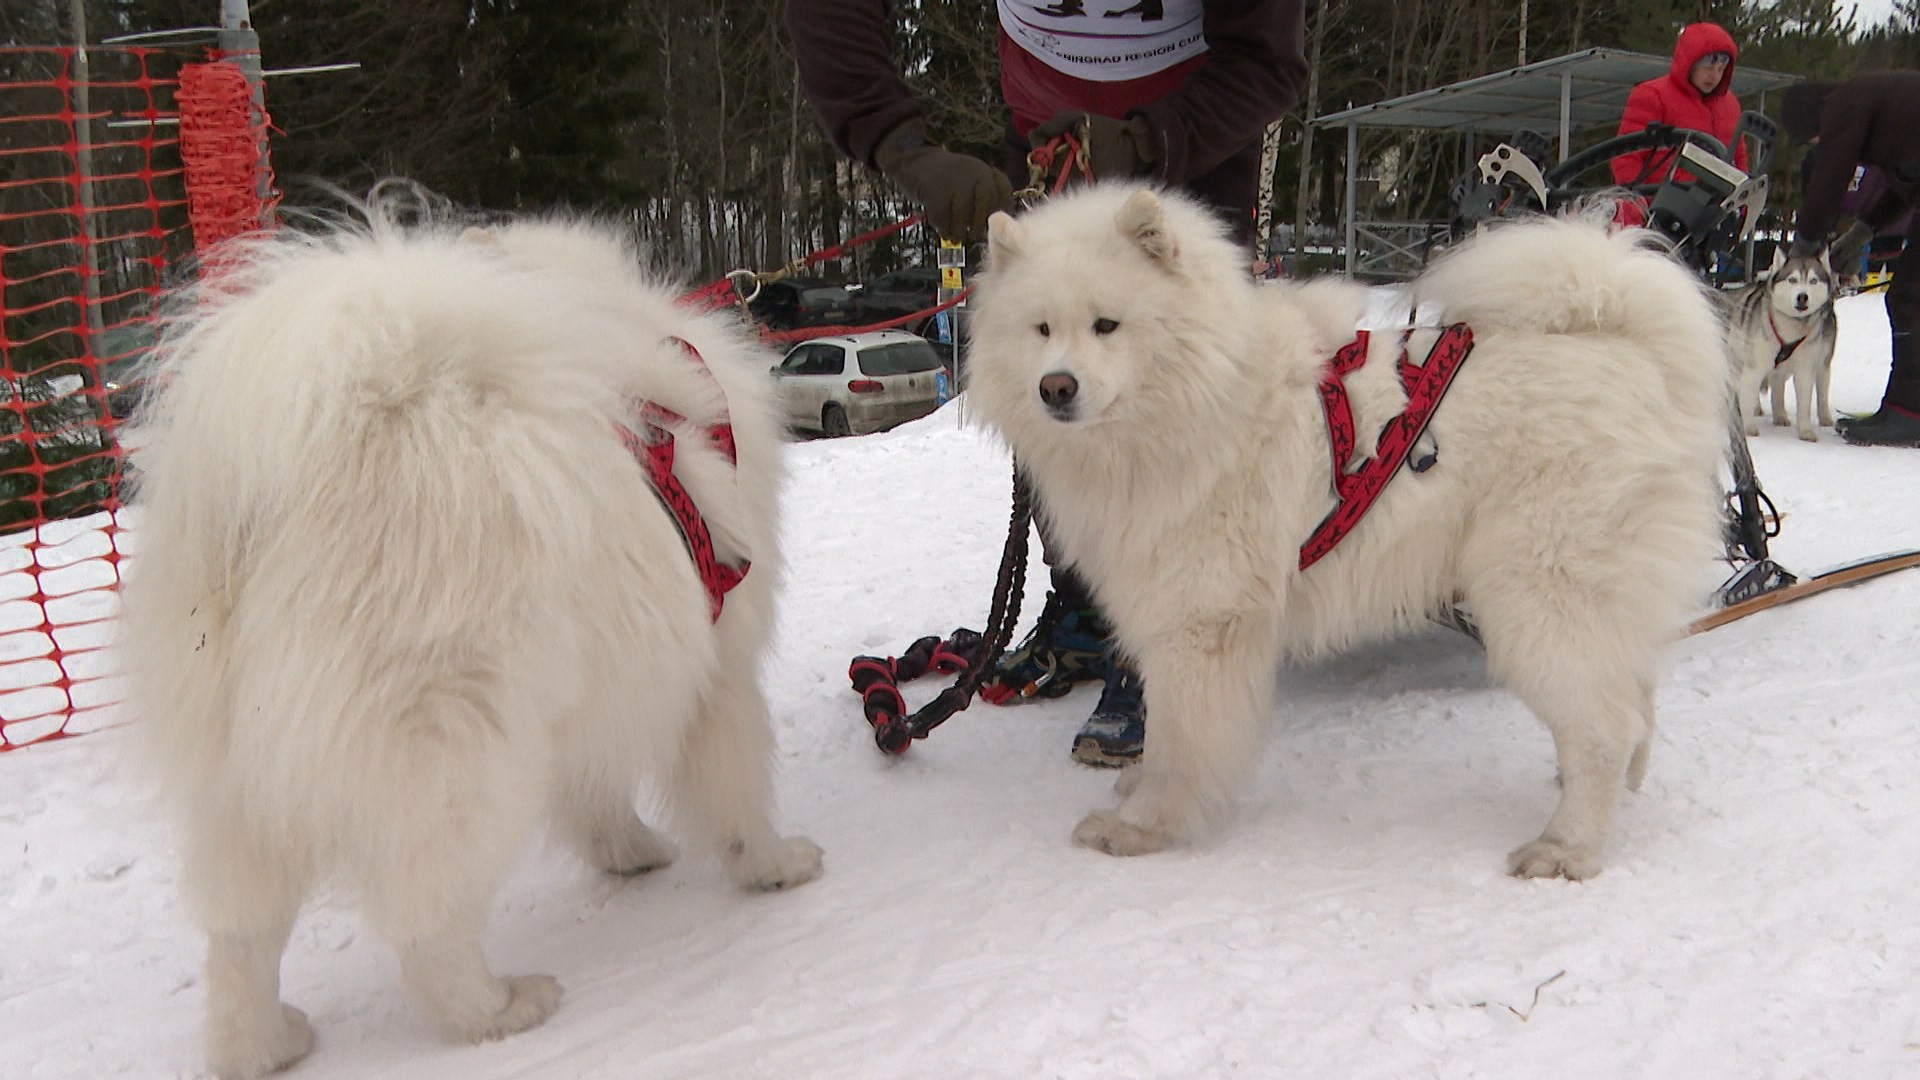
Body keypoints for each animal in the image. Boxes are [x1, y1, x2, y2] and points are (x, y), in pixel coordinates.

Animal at [118, 203, 825, 1076]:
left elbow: (596, 796)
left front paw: (629, 853)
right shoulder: (719, 667)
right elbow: (737, 793)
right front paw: (776, 867)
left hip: (244, 789)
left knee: (238, 935)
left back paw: (262, 1046)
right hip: (460, 759)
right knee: (425, 926)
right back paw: (499, 1009)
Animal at [967, 182, 1735, 876]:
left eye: (1107, 325)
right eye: (1041, 330)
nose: (1056, 388)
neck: (1205, 397)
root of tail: (1634, 353)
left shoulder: (1201, 620)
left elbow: (1184, 741)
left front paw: (1143, 827)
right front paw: (1138, 789)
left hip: (1536, 595)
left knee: (1607, 724)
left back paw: (1564, 847)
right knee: (1633, 702)